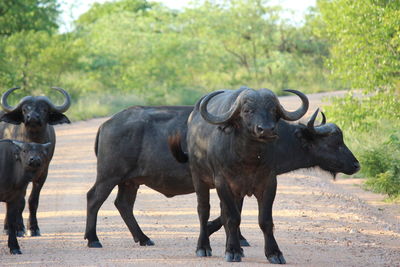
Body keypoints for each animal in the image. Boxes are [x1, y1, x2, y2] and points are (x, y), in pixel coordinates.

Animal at [0, 87, 71, 237]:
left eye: (44, 109)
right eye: (24, 109)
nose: (32, 117)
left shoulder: (43, 173)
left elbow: (33, 200)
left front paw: (33, 228)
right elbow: (20, 200)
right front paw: (19, 228)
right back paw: (8, 227)